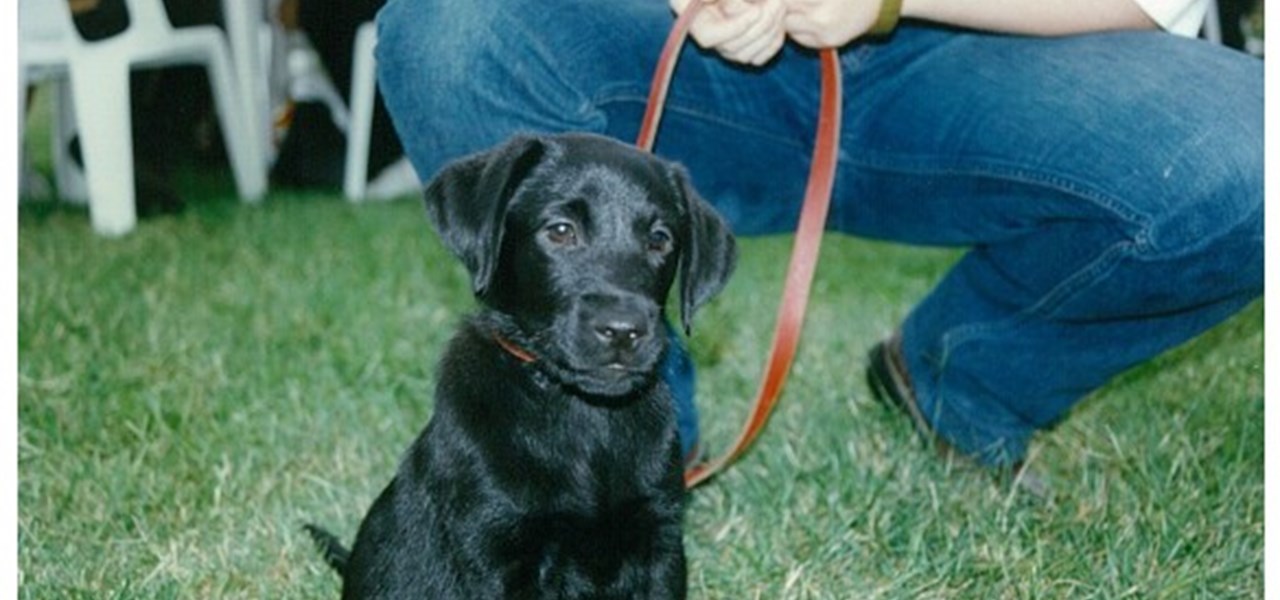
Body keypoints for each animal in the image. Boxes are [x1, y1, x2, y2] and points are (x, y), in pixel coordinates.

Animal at [303, 133, 737, 596]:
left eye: (660, 239)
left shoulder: (660, 539)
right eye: (561, 230)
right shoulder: (496, 547)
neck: (583, 416)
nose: (623, 330)